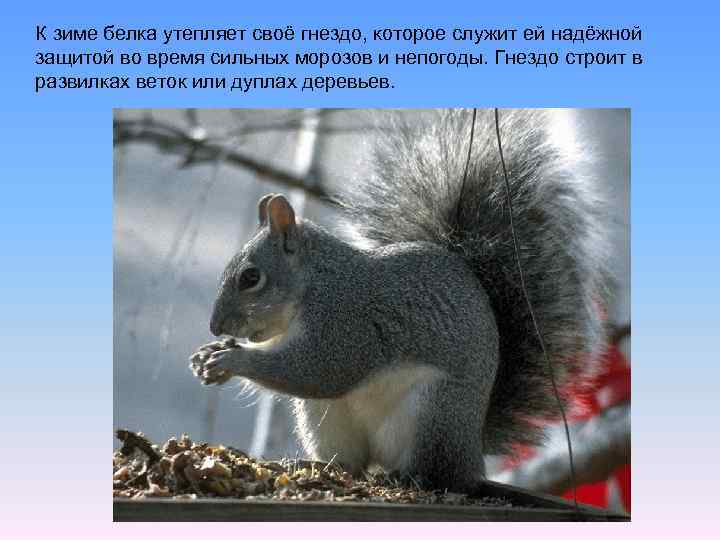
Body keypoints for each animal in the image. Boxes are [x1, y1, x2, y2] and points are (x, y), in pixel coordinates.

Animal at [189, 109, 610, 492]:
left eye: (251, 277)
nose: (215, 326)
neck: (314, 283)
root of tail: (472, 455)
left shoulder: (344, 319)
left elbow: (319, 370)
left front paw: (231, 359)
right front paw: (209, 354)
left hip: (432, 414)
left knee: (432, 471)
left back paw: (408, 476)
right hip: (326, 419)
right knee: (353, 463)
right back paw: (319, 467)